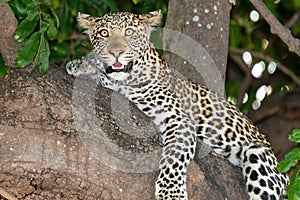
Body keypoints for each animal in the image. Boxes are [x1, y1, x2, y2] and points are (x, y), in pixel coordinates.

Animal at [67, 10, 290, 199]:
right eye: (104, 34)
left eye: (129, 32)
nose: (116, 52)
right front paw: (80, 66)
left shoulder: (178, 119)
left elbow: (174, 159)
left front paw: (171, 193)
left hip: (258, 156)